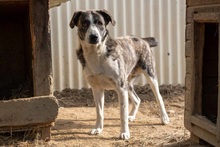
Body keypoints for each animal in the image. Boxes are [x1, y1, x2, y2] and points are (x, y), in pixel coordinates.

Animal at [69, 9, 169, 140]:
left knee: (159, 97)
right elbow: (99, 112)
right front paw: (98, 128)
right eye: (84, 24)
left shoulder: (120, 89)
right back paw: (131, 116)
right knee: (137, 99)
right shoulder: (97, 89)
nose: (94, 37)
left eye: (100, 23)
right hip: (127, 83)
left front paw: (125, 133)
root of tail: (142, 39)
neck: (96, 54)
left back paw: (164, 118)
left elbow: (122, 113)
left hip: (149, 75)